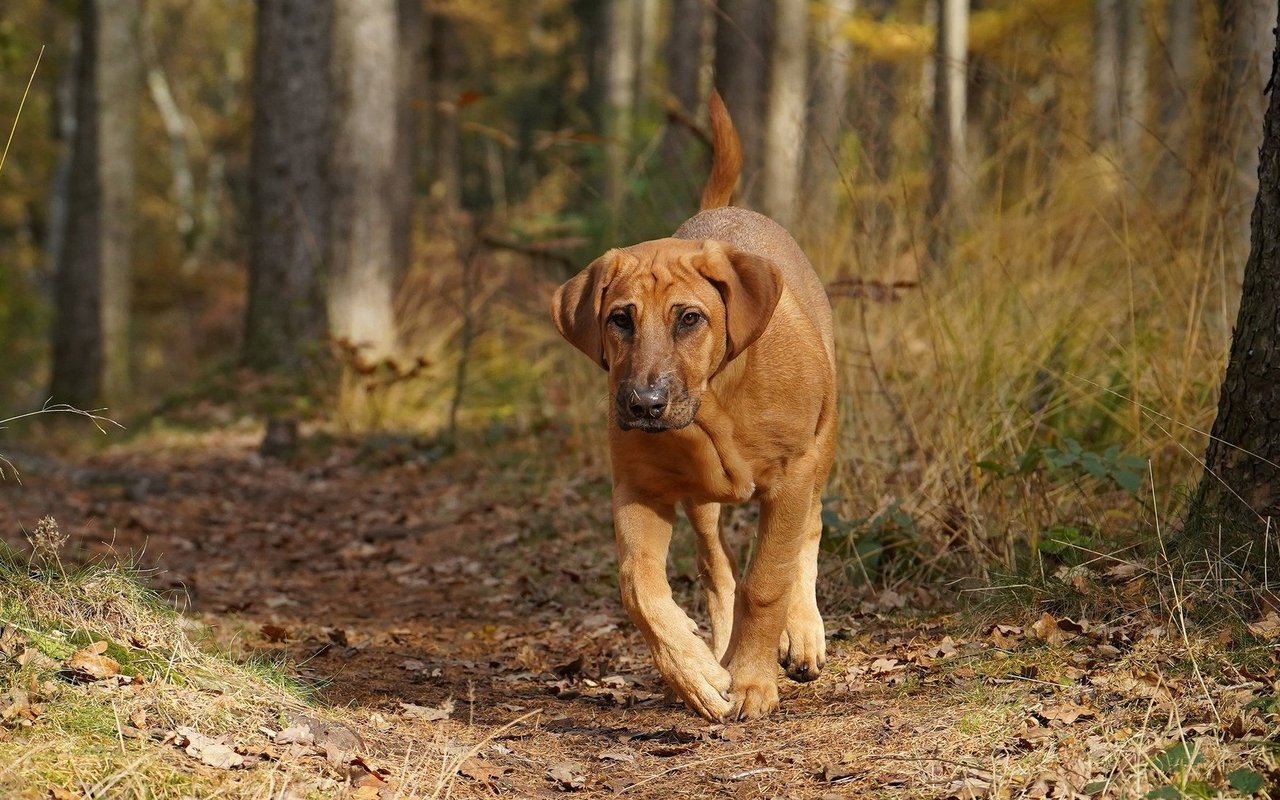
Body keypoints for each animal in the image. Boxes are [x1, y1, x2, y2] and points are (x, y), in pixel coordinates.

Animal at [552, 90, 839, 721]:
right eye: (620, 319)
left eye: (690, 318)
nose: (644, 404)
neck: (715, 407)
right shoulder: (640, 488)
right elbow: (638, 585)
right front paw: (696, 673)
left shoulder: (792, 476)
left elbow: (769, 579)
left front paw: (753, 680)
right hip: (701, 501)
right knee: (716, 566)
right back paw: (717, 651)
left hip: (824, 444)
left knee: (807, 532)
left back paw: (803, 633)